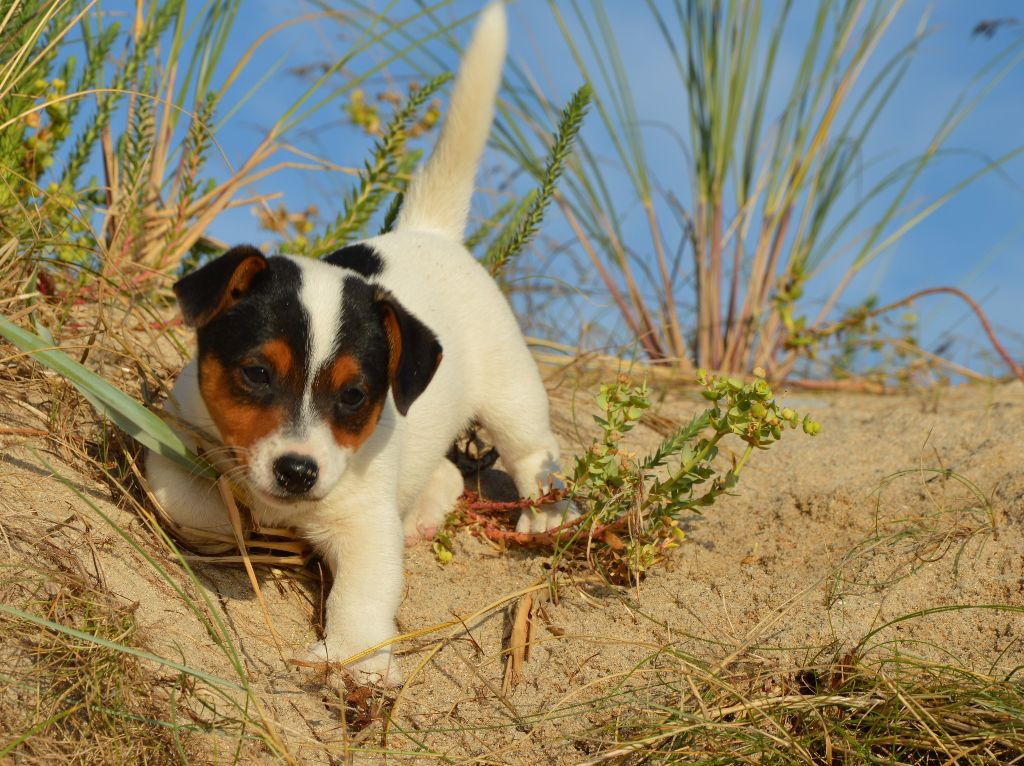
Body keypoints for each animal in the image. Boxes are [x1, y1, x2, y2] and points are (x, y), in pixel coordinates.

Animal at [148, 2, 573, 684]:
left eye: (354, 396)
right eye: (256, 374)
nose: (298, 472)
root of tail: (429, 231)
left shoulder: (366, 530)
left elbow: (364, 594)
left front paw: (356, 662)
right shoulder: (173, 448)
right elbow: (204, 507)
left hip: (511, 398)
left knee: (535, 453)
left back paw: (544, 515)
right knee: (445, 473)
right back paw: (424, 509)